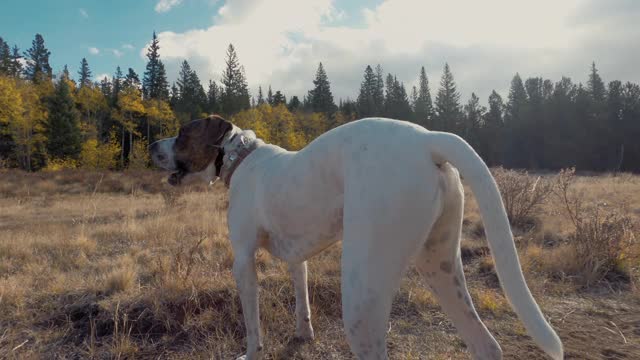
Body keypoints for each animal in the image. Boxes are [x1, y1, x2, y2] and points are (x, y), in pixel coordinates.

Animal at [149, 115, 560, 360]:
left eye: (183, 134)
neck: (242, 157)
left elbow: (252, 325)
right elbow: (302, 300)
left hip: (363, 297)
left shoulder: (242, 262)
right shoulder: (299, 258)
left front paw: (252, 352)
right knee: (486, 344)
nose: (152, 145)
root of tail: (427, 139)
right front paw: (304, 334)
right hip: (440, 265)